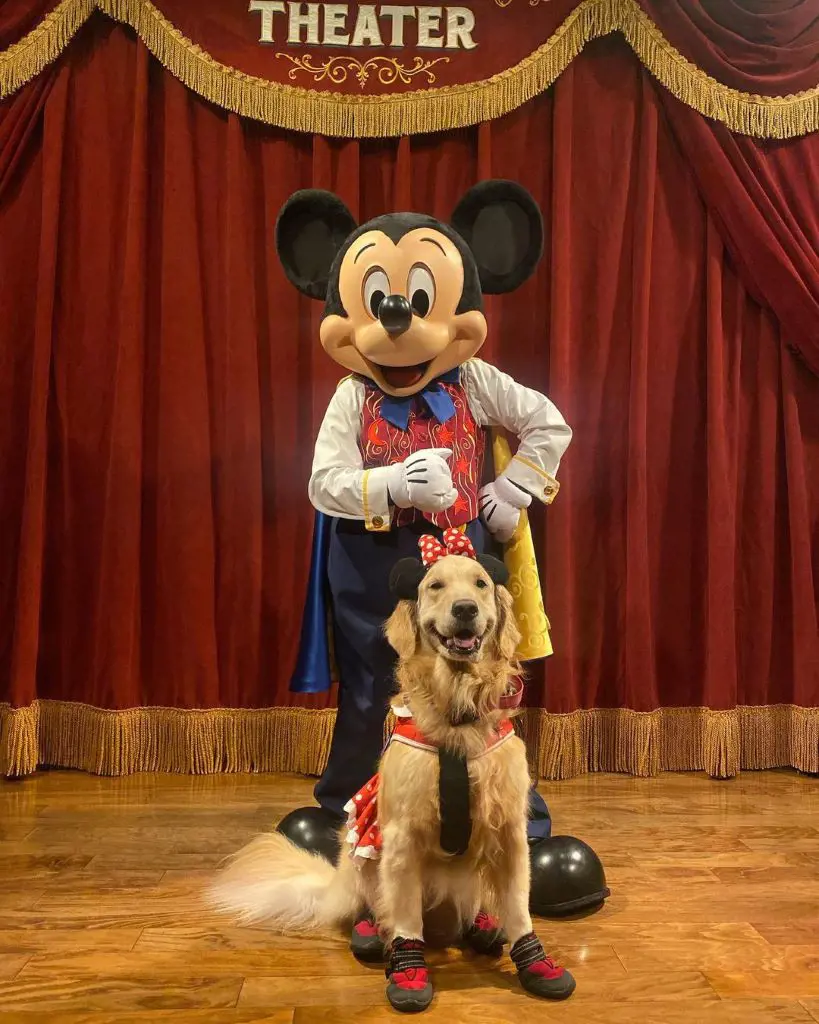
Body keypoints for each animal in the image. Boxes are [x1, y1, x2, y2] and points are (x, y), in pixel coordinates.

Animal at [209, 540, 577, 1011]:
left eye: (480, 583)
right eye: (435, 586)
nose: (465, 609)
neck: (457, 714)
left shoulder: (509, 833)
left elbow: (518, 909)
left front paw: (535, 963)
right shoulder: (402, 837)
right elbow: (405, 917)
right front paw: (408, 972)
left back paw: (480, 925)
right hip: (364, 862)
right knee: (374, 906)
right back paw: (371, 932)